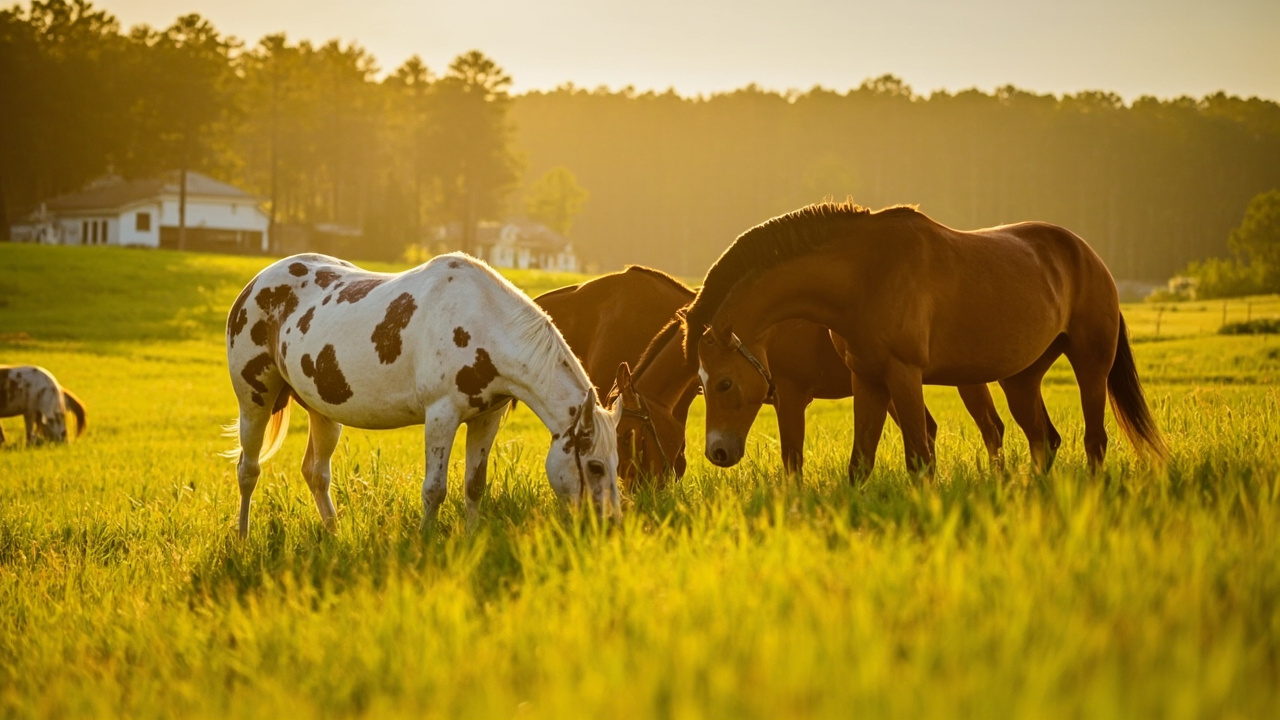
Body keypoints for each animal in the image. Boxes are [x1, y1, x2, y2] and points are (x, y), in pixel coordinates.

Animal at [225, 252, 622, 537]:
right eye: (595, 466)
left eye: (616, 462)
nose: (612, 524)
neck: (483, 321)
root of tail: (255, 284)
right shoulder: (441, 416)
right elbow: (434, 489)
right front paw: (426, 541)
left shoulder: (486, 418)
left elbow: (474, 485)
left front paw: (471, 538)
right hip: (254, 401)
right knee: (248, 470)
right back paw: (243, 540)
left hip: (323, 411)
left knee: (316, 474)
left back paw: (334, 537)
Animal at [683, 202, 1165, 478]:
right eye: (700, 385)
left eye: (724, 382)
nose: (717, 452)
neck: (864, 274)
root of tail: (1089, 256)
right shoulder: (868, 379)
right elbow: (860, 463)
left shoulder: (902, 376)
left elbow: (920, 458)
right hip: (1020, 379)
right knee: (1044, 440)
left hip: (1091, 364)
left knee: (1094, 441)